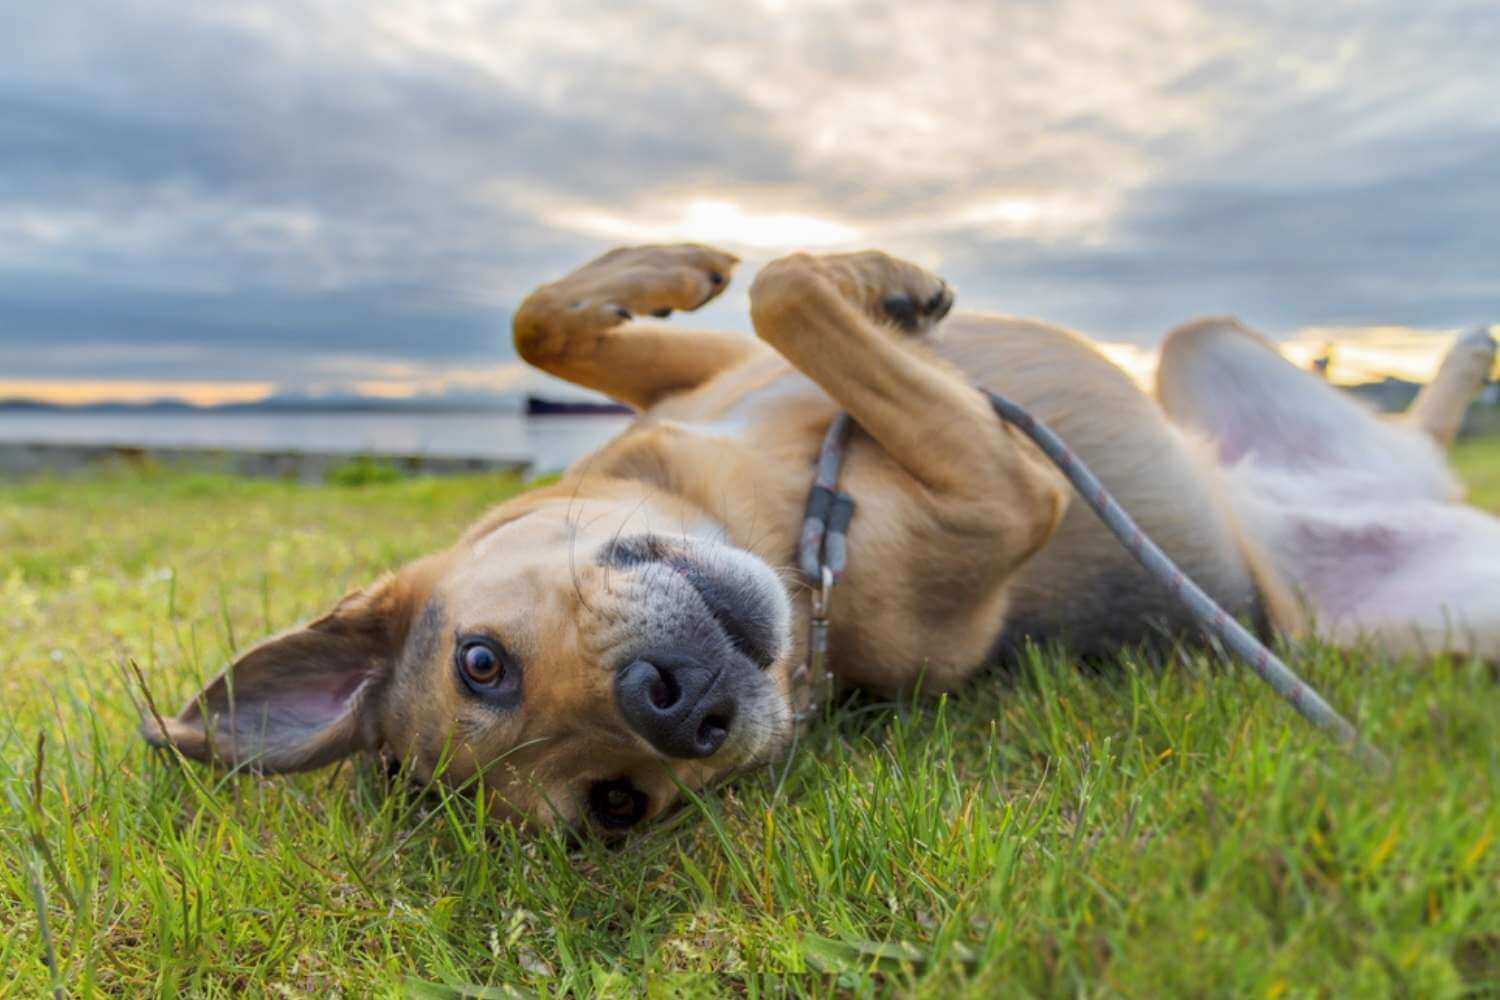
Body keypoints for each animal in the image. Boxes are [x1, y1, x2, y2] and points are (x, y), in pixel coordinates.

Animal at [143, 244, 1500, 839]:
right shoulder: (1007, 492)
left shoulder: (702, 380)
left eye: (483, 662)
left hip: (1198, 345)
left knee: (1402, 423)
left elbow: (570, 320)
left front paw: (724, 265)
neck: (772, 521)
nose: (674, 703)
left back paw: (1459, 358)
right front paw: (866, 281)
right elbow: (789, 296)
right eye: (619, 805)